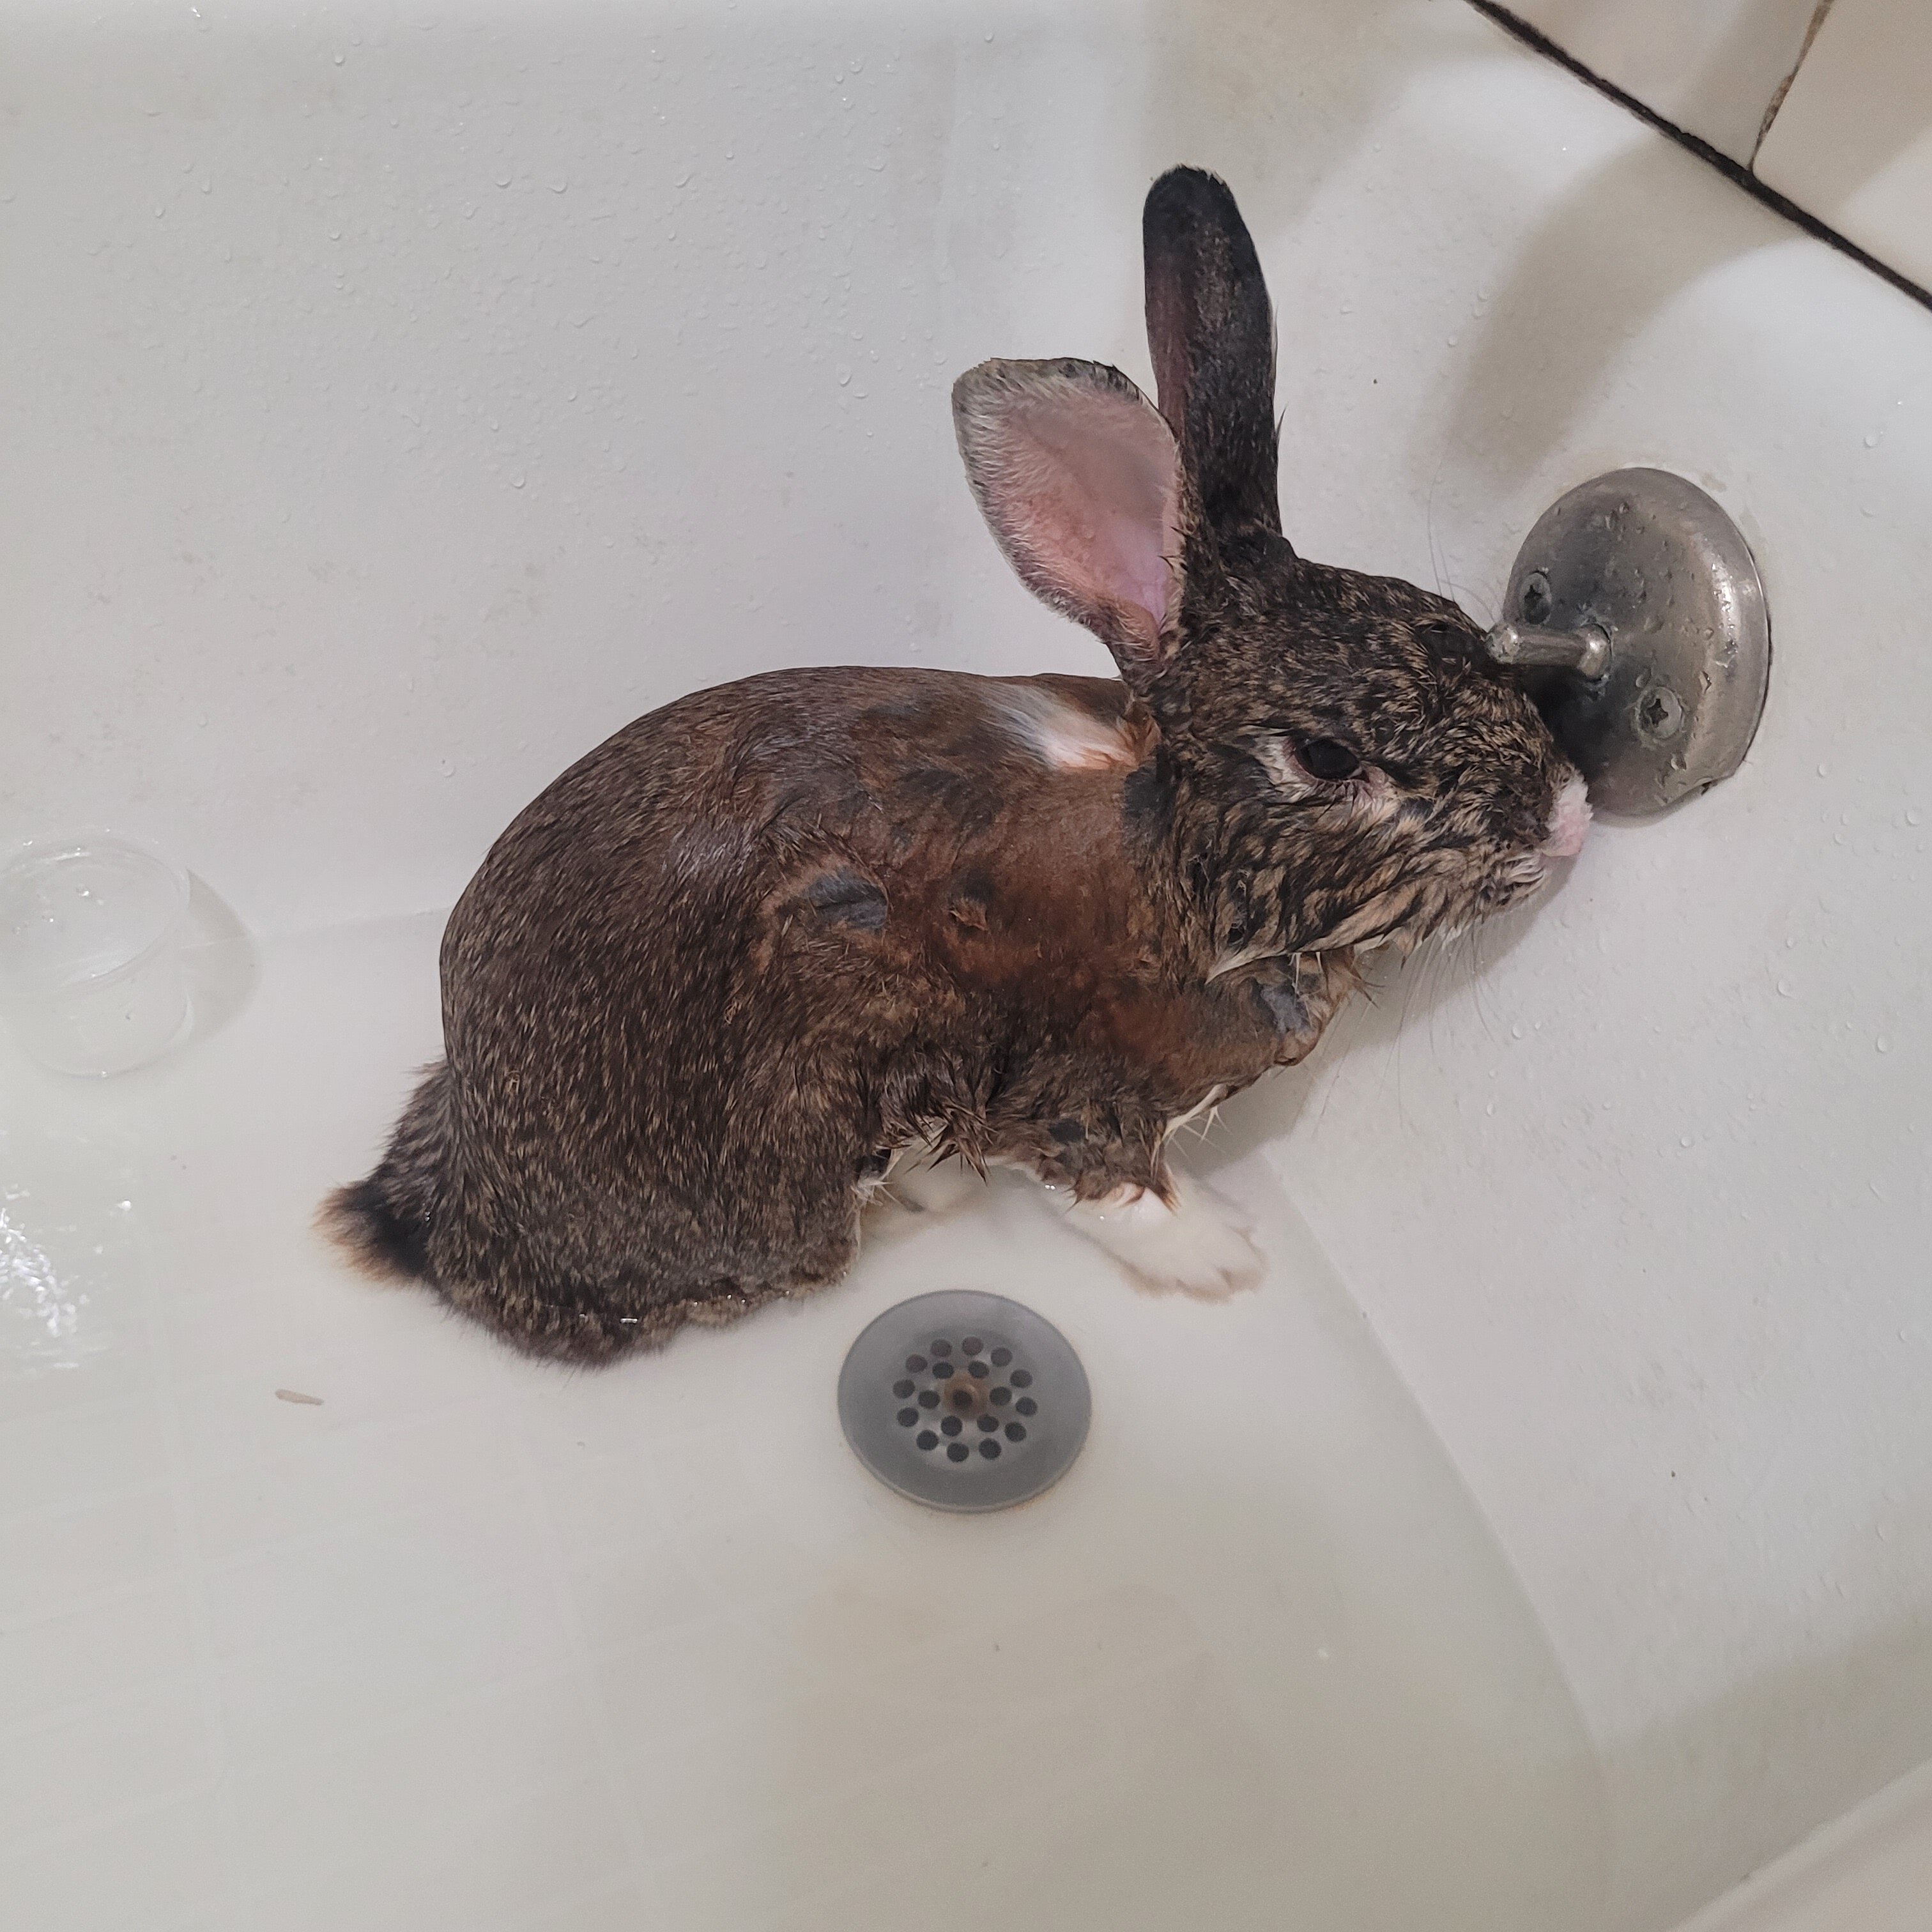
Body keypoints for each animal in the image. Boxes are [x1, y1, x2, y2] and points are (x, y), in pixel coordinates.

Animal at [322, 166, 1589, 1363]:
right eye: (1325, 756)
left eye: (1457, 627)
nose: (1571, 817)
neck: (1178, 863)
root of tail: (456, 1215)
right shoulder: (1074, 1093)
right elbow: (1118, 1193)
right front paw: (1222, 1257)